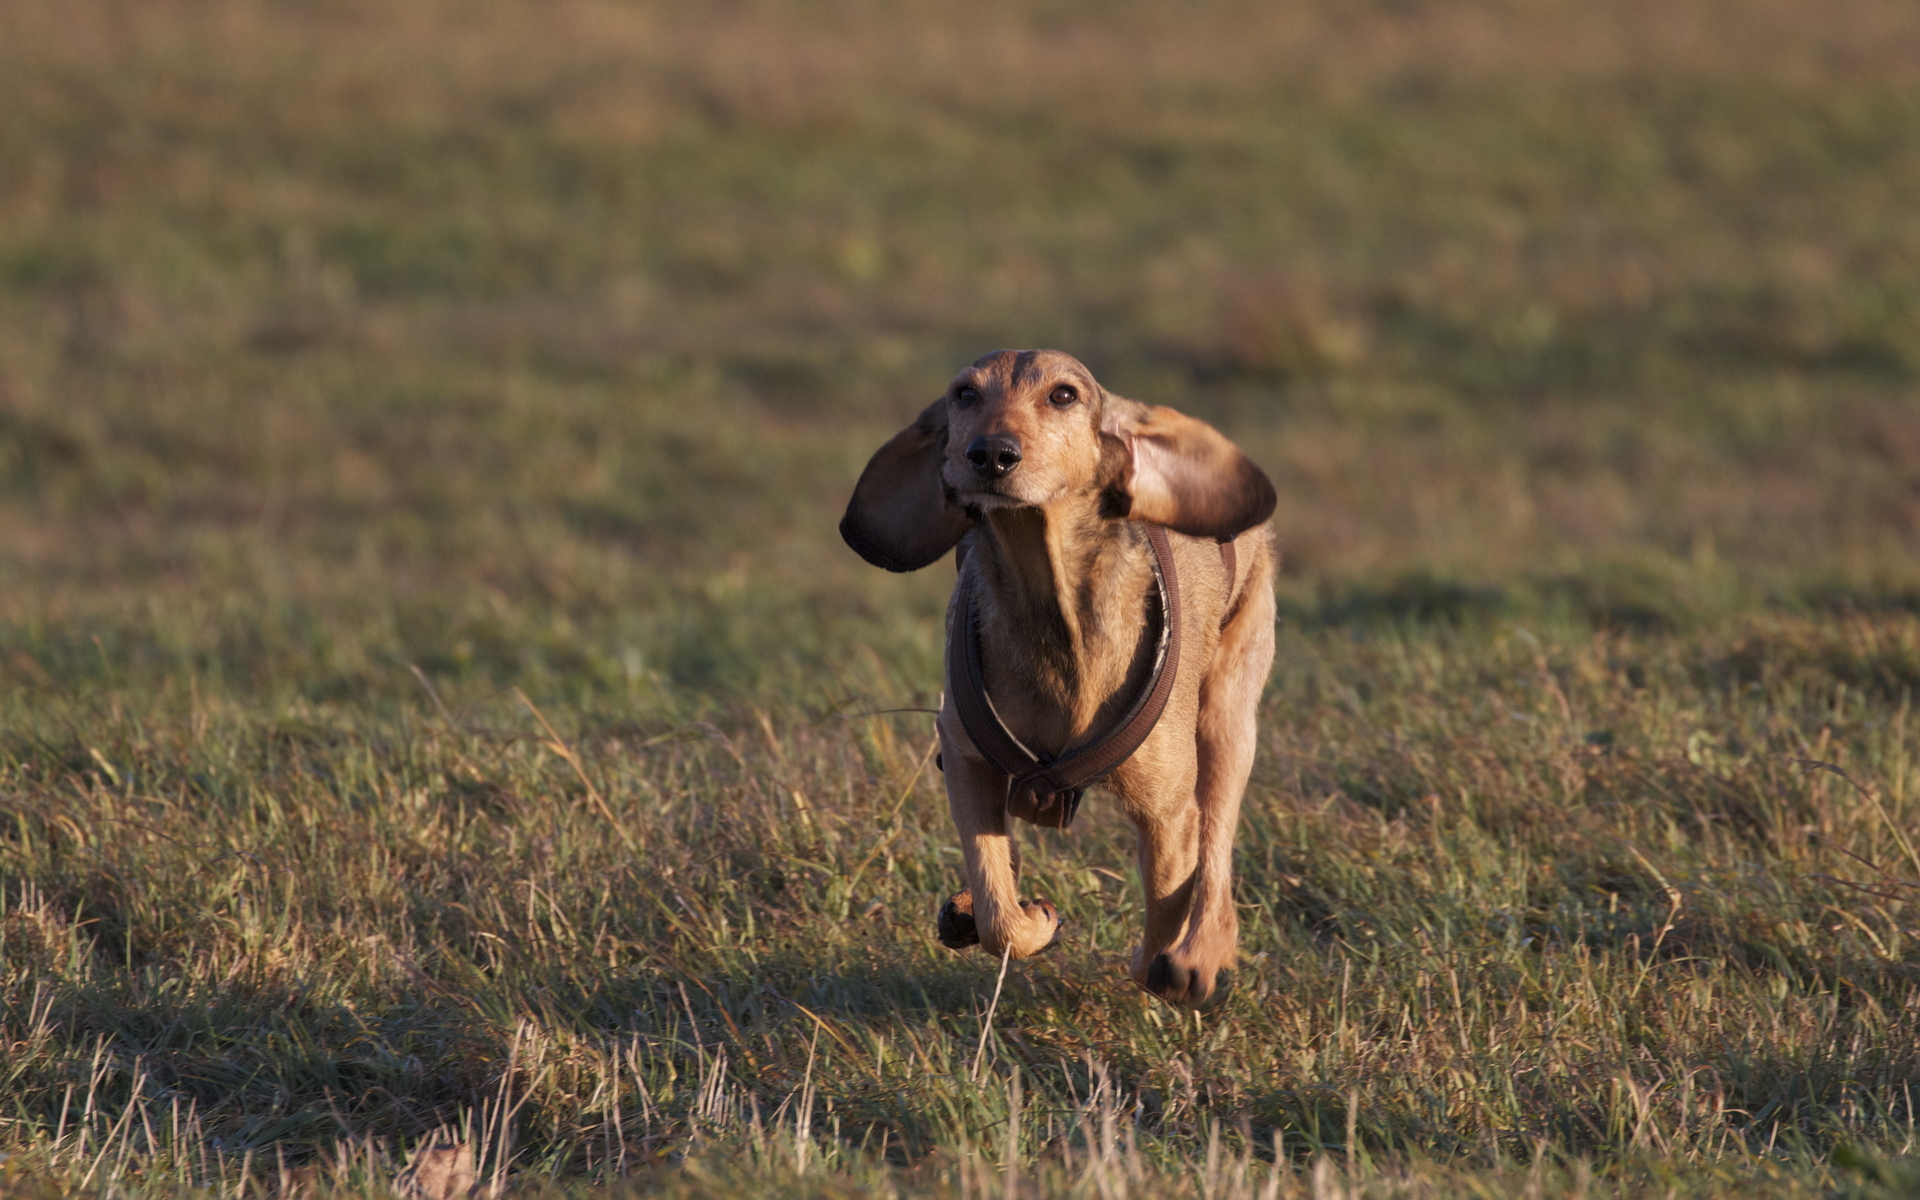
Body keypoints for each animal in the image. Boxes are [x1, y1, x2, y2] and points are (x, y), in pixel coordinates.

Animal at [844, 349, 1274, 1013]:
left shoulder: (1167, 813)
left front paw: (1169, 964)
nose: (991, 454)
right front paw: (1024, 917)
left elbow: (1167, 910)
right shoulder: (964, 759)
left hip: (1228, 717)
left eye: (1064, 395)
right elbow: (998, 906)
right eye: (964, 394)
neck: (1050, 603)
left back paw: (1202, 955)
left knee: (1218, 847)